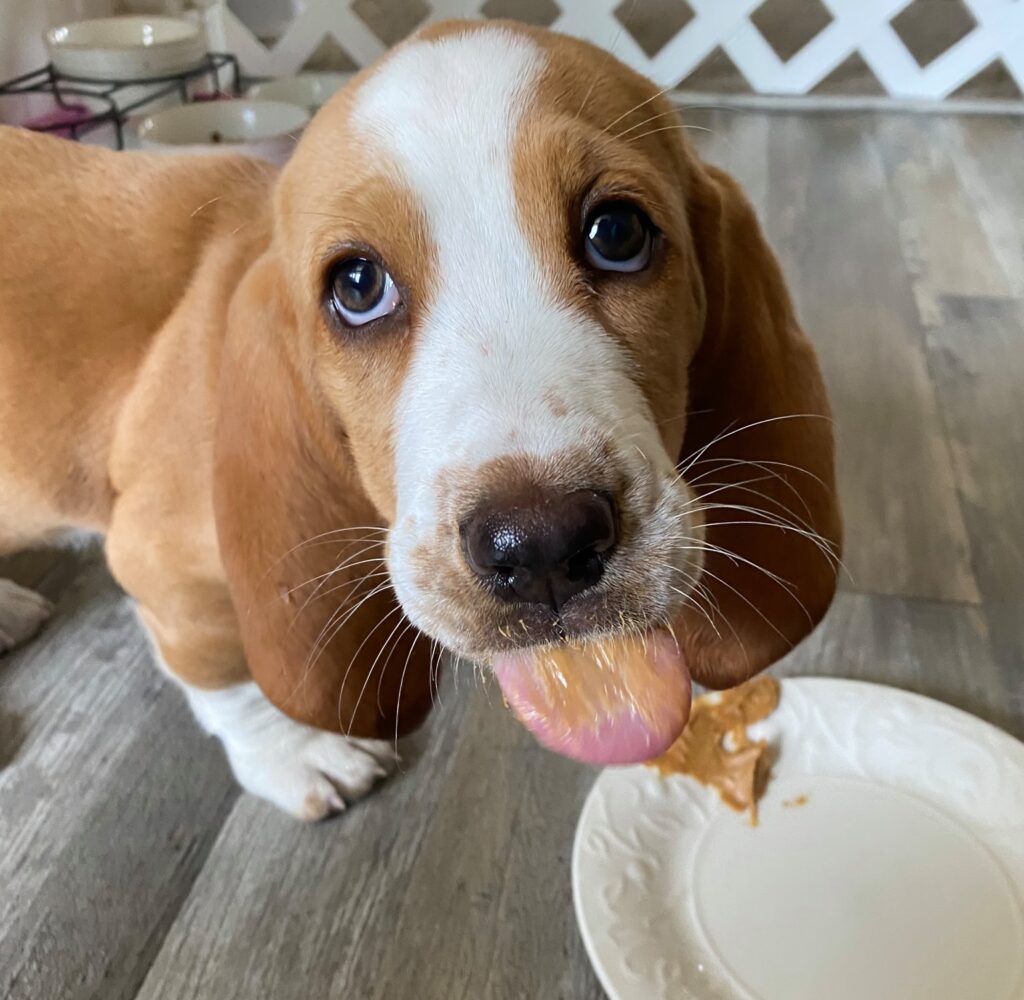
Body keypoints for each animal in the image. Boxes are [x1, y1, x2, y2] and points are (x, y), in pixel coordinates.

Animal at [0, 19, 839, 818]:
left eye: (618, 232)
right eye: (357, 286)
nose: (541, 544)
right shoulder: (162, 565)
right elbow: (227, 681)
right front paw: (295, 755)